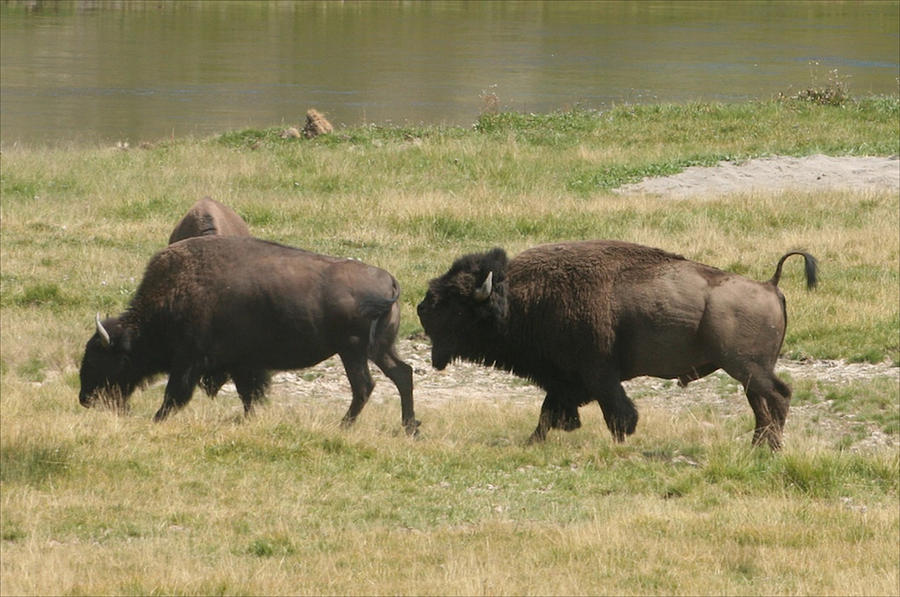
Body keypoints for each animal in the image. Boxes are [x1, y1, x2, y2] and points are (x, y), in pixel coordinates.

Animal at [81, 234, 418, 434]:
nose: (85, 398)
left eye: (104, 359)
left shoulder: (189, 362)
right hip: (377, 349)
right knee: (402, 374)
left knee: (364, 386)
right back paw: (409, 428)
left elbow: (174, 394)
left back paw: (344, 427)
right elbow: (249, 394)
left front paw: (156, 419)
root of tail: (390, 281)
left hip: (353, 351)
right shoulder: (241, 364)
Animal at [418, 240, 820, 450]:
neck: (520, 296)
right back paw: (757, 447)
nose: (421, 307)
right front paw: (534, 441)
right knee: (761, 405)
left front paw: (619, 443)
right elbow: (548, 413)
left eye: (456, 303)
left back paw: (772, 448)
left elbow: (618, 414)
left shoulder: (598, 375)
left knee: (778, 396)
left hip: (747, 367)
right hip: (748, 372)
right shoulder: (566, 380)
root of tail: (770, 285)